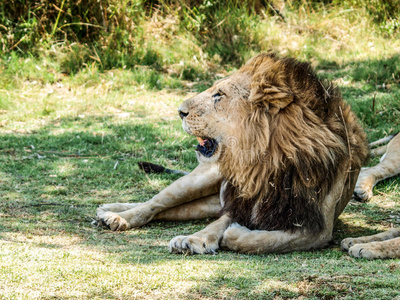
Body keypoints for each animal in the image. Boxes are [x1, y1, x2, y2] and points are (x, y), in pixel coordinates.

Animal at [96, 53, 368, 253]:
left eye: (220, 94)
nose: (180, 111)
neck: (265, 164)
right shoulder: (241, 203)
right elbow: (220, 224)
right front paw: (194, 239)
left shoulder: (316, 228)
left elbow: (264, 241)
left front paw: (231, 234)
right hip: (200, 179)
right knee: (155, 203)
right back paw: (114, 215)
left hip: (210, 201)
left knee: (170, 210)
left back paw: (108, 212)